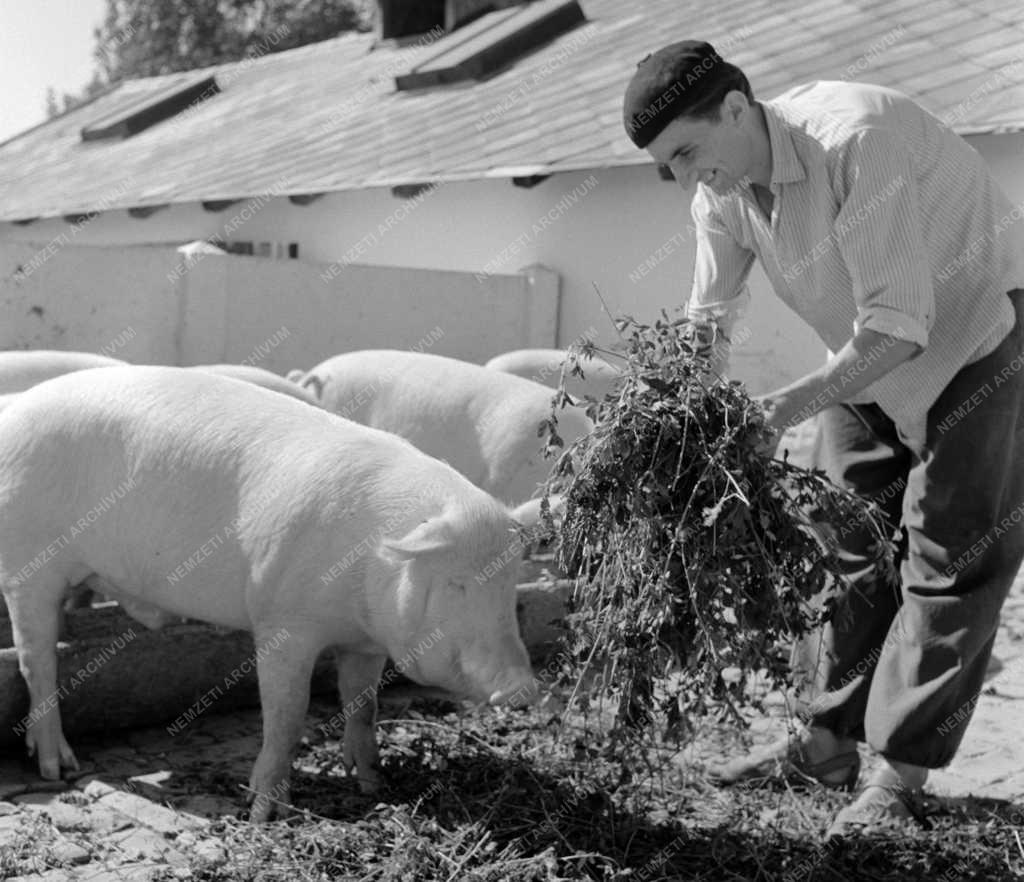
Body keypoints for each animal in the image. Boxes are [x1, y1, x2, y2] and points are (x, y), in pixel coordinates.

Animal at [0, 364, 540, 819]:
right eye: (456, 583)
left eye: (510, 581)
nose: (522, 688)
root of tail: (16, 410)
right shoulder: (282, 621)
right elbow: (287, 715)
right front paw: (264, 813)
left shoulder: (365, 642)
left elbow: (363, 705)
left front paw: (372, 783)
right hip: (29, 561)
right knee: (36, 659)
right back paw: (58, 768)